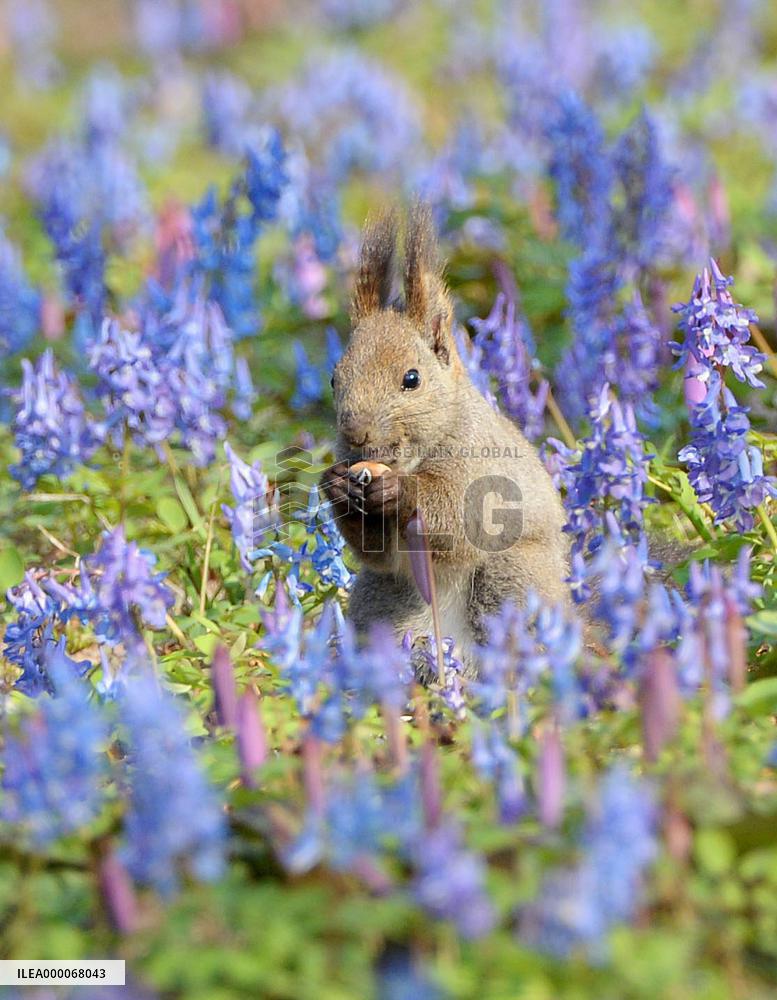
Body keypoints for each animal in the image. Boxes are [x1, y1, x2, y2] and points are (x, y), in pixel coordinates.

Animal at [320, 204, 570, 674]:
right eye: (333, 379)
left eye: (411, 379)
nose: (355, 434)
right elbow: (375, 552)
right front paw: (335, 485)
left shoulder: (483, 469)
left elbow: (460, 517)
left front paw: (399, 491)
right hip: (384, 598)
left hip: (512, 574)